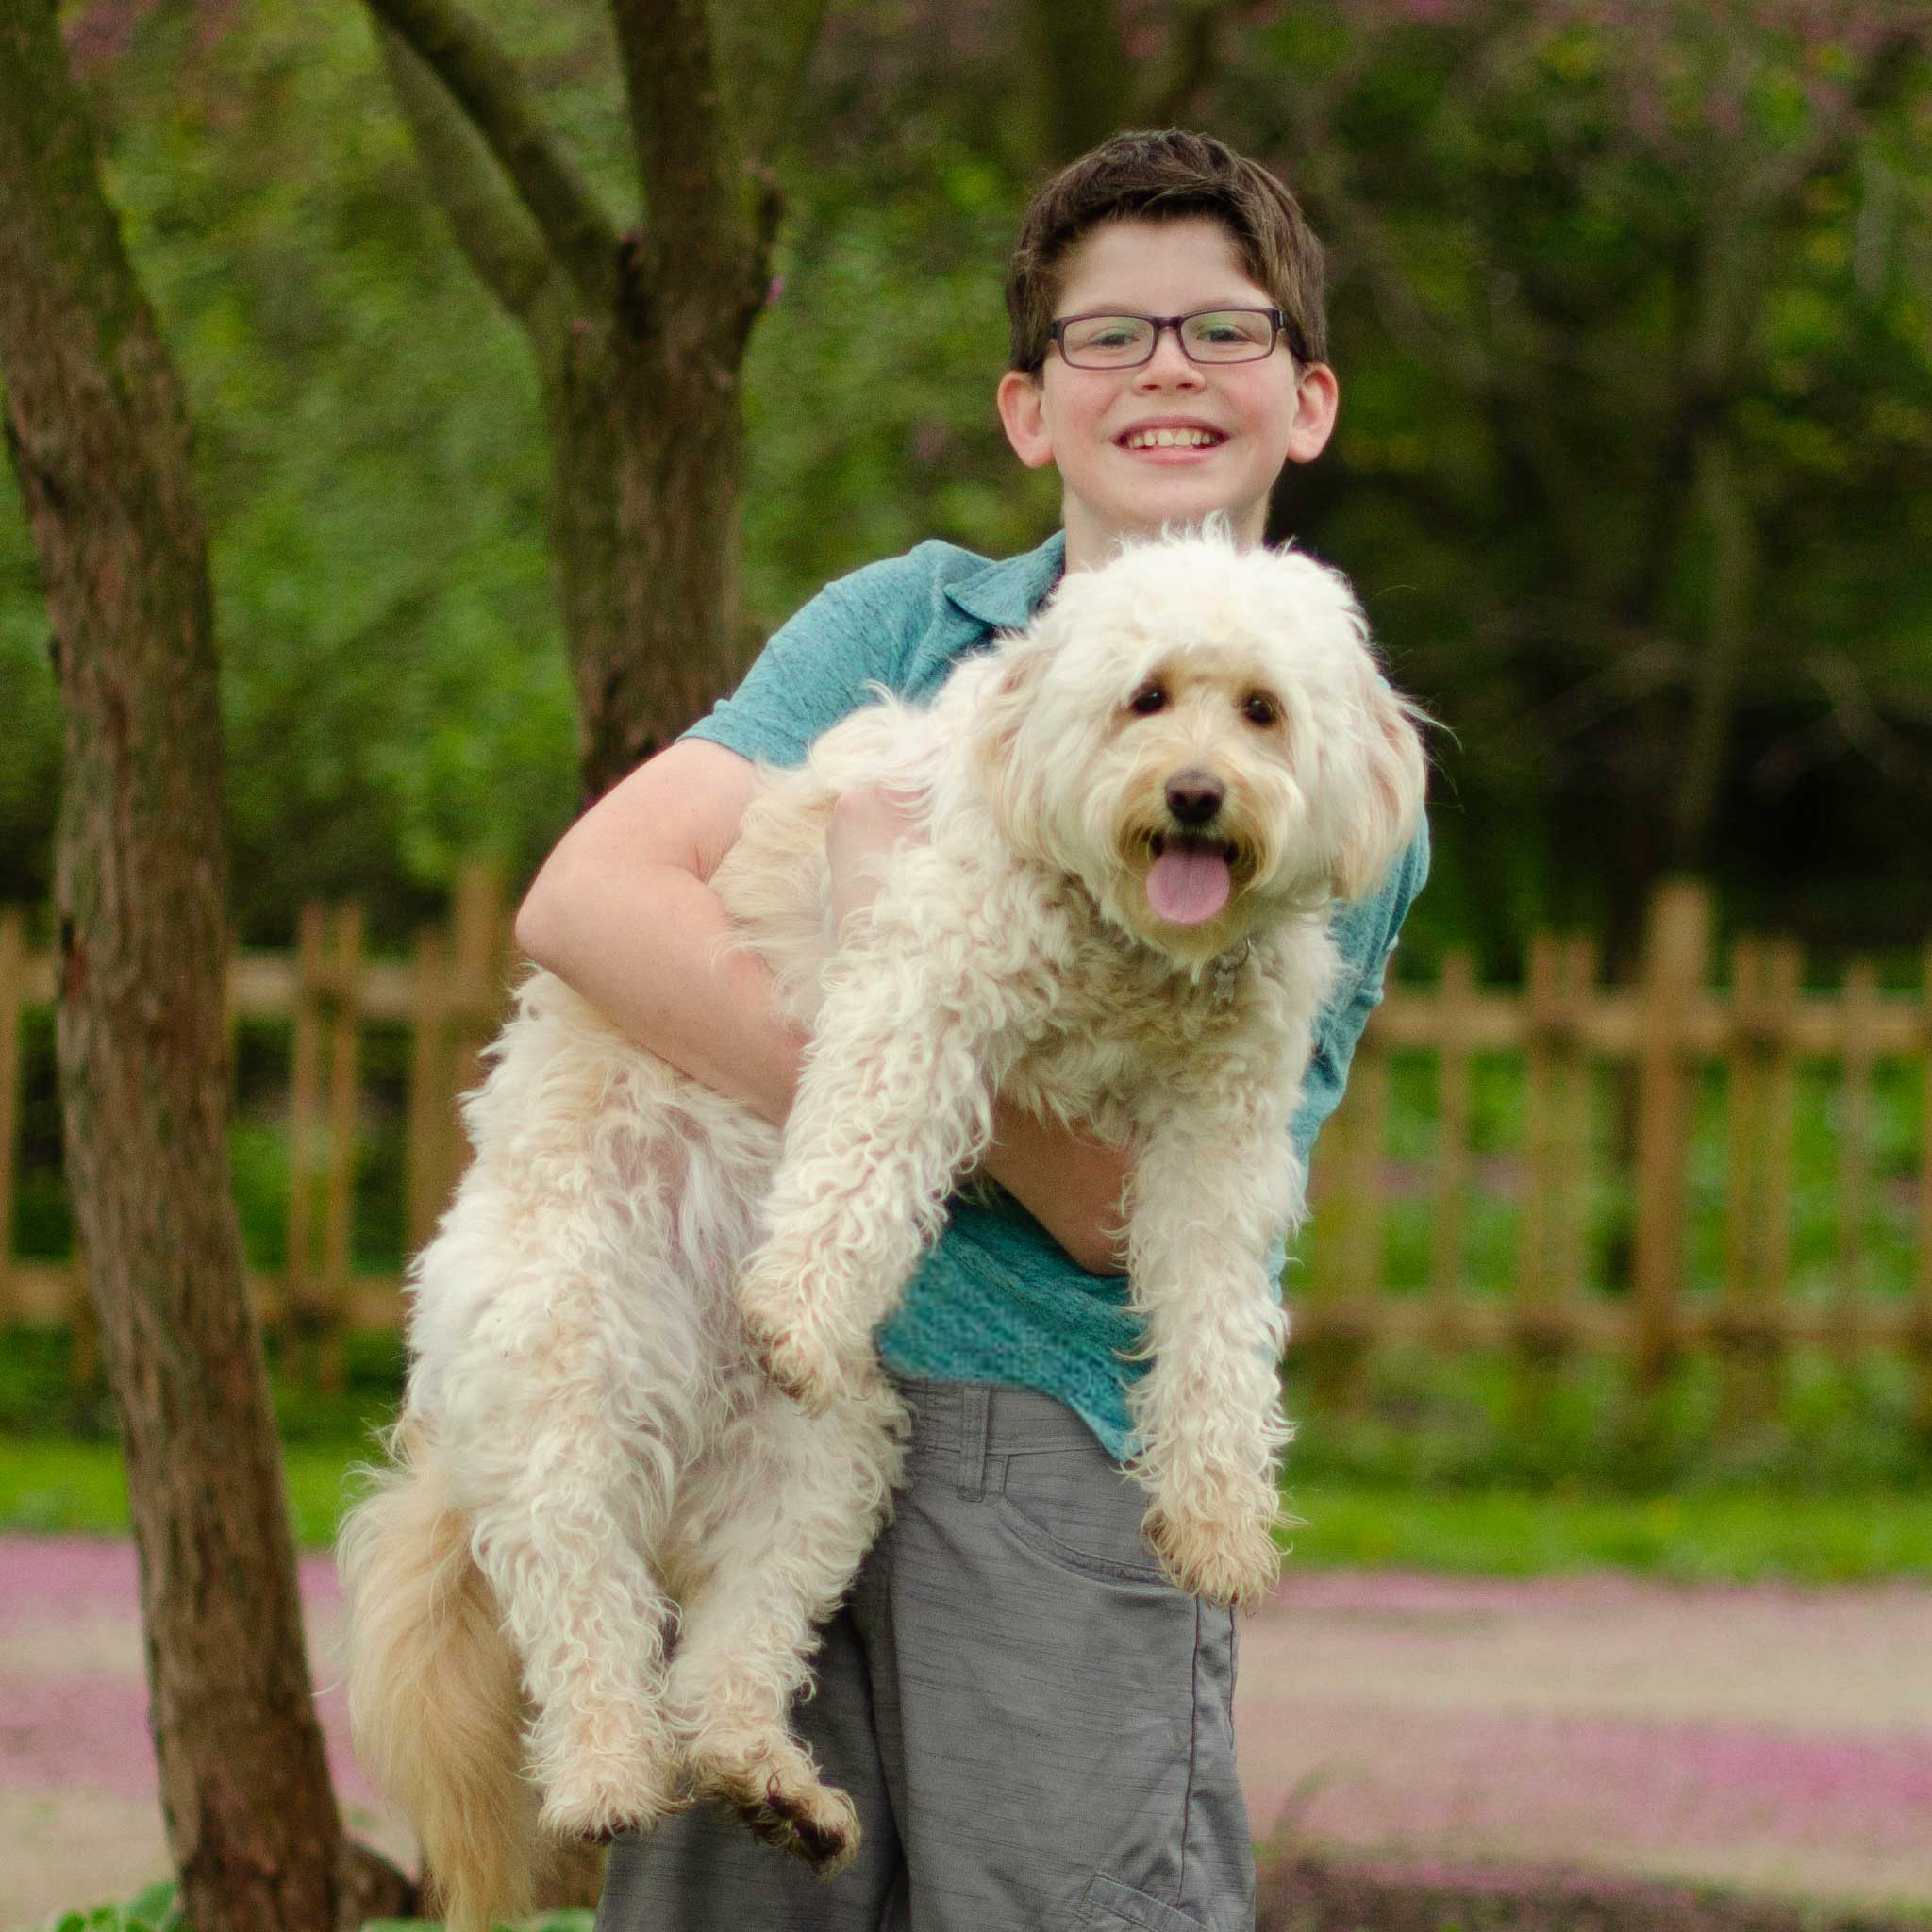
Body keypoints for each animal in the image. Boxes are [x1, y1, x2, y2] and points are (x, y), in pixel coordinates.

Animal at [340, 529, 1429, 1932]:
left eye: (1261, 710)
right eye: (1146, 697)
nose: (1195, 795)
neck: (1127, 949)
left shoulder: (1216, 1147)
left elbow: (1220, 1336)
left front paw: (1220, 1508)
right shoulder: (922, 981)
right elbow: (867, 1145)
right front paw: (801, 1302)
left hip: (825, 1472)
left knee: (728, 1657)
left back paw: (772, 1785)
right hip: (565, 1391)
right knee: (581, 1607)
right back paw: (605, 1773)